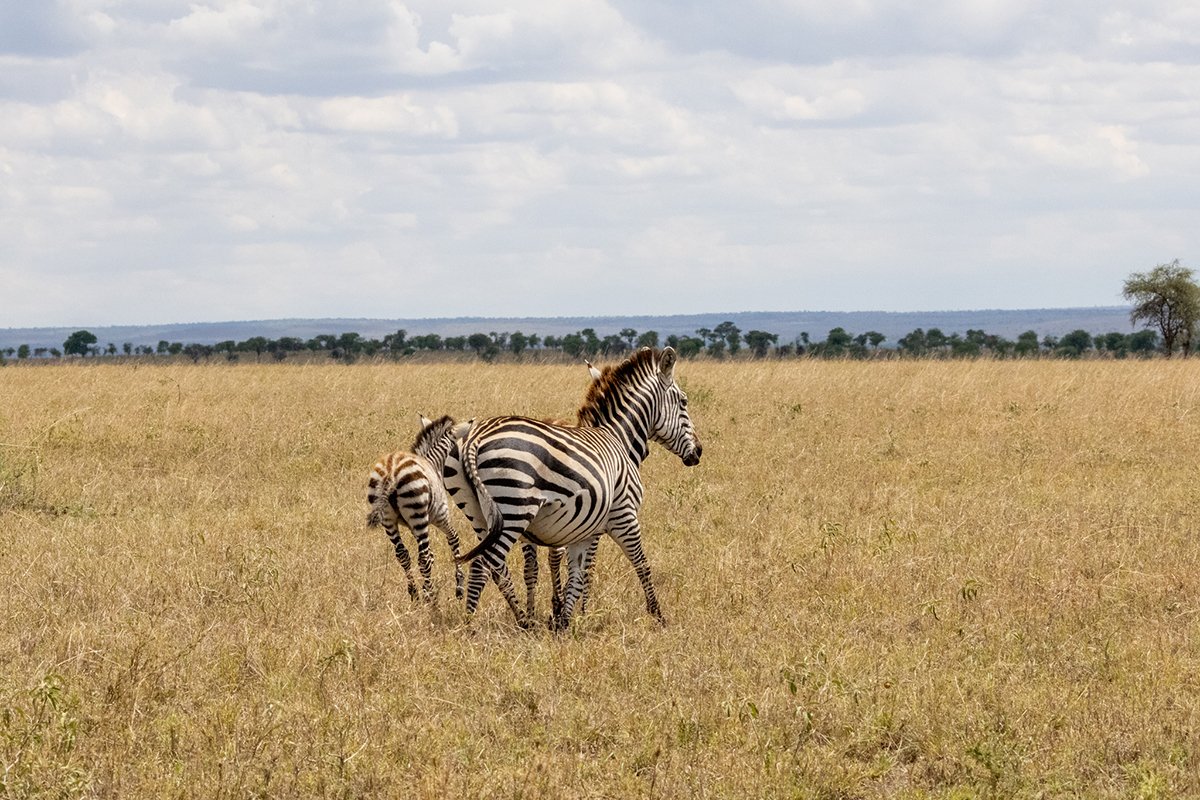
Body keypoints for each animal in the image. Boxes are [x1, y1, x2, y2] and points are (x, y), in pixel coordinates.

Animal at [445, 347, 702, 629]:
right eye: (684, 402)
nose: (699, 452)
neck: (618, 438)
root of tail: (476, 437)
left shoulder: (584, 528)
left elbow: (577, 573)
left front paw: (564, 620)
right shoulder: (623, 516)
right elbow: (639, 564)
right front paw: (657, 616)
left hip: (481, 515)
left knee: (496, 567)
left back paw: (521, 619)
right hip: (514, 510)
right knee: (483, 565)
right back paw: (471, 626)